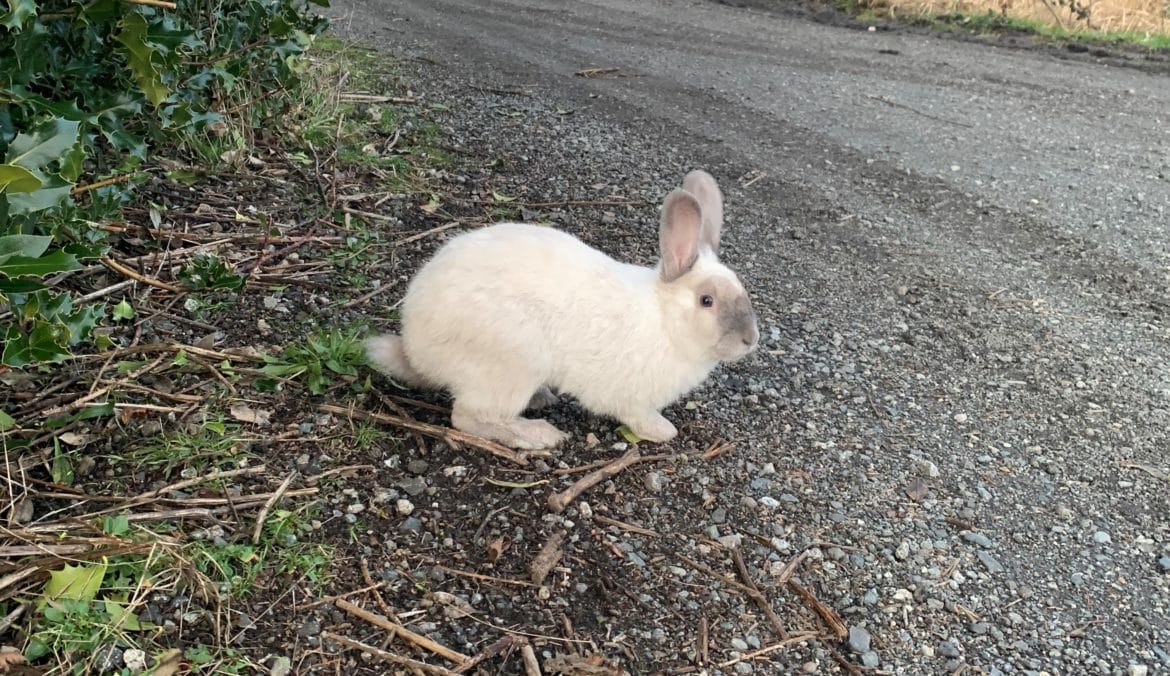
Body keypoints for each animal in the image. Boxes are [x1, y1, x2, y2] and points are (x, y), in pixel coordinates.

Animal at [365, 170, 759, 450]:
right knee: (468, 416)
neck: (665, 321)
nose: (750, 340)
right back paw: (539, 435)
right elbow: (638, 416)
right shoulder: (631, 398)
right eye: (706, 301)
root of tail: (415, 350)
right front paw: (663, 431)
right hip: (512, 364)